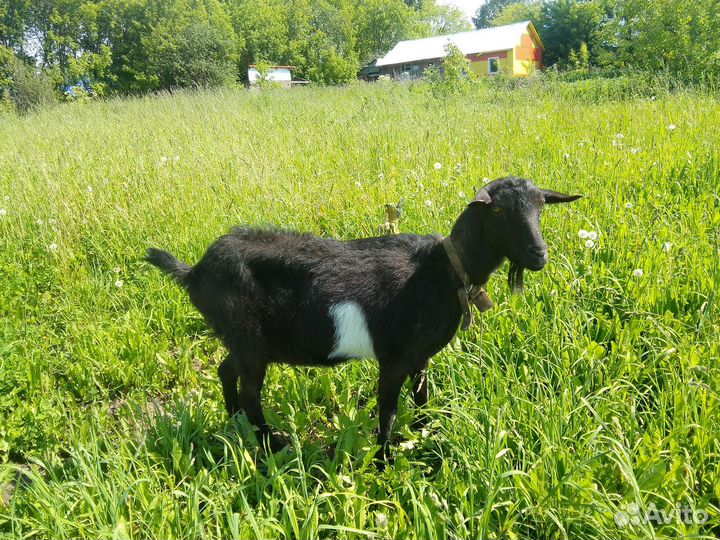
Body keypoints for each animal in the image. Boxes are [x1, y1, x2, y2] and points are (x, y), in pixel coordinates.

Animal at [146, 176, 580, 460]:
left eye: (541, 207)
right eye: (500, 210)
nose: (539, 254)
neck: (441, 271)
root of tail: (195, 272)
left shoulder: (421, 356)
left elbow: (422, 395)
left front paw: (427, 434)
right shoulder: (393, 358)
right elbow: (388, 412)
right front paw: (385, 461)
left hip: (239, 339)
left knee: (225, 370)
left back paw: (235, 420)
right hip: (250, 341)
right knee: (251, 390)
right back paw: (271, 443)